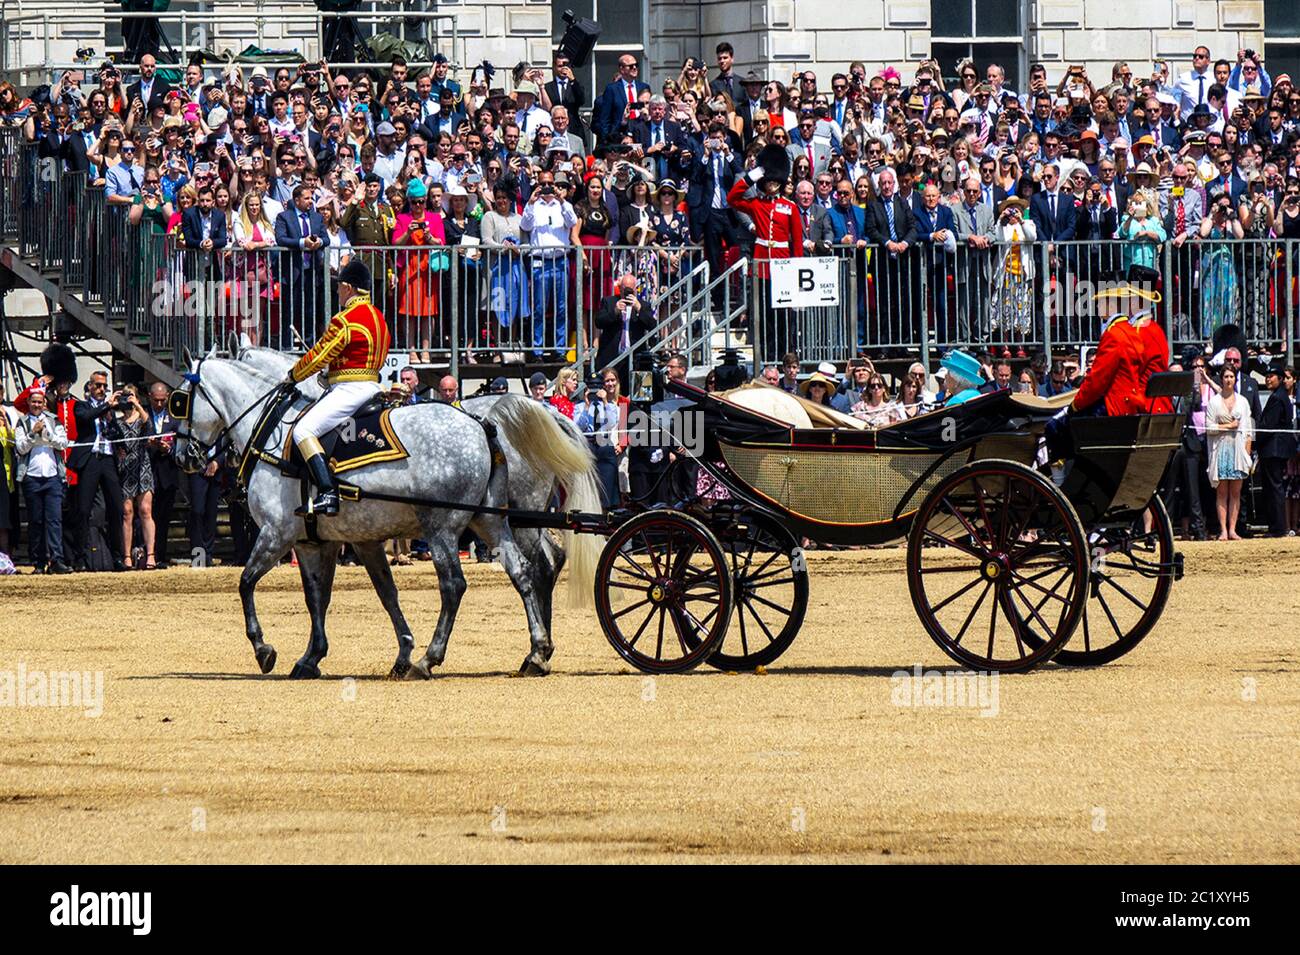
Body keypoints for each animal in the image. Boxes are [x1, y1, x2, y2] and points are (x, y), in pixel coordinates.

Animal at [170, 353, 600, 680]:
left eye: (181, 402)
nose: (181, 457)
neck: (277, 435)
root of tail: (483, 423)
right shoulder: (326, 541)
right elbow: (336, 596)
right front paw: (315, 657)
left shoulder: (277, 534)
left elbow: (246, 583)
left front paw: (265, 650)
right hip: (491, 522)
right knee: (524, 571)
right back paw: (537, 652)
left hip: (444, 528)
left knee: (458, 585)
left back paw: (431, 660)